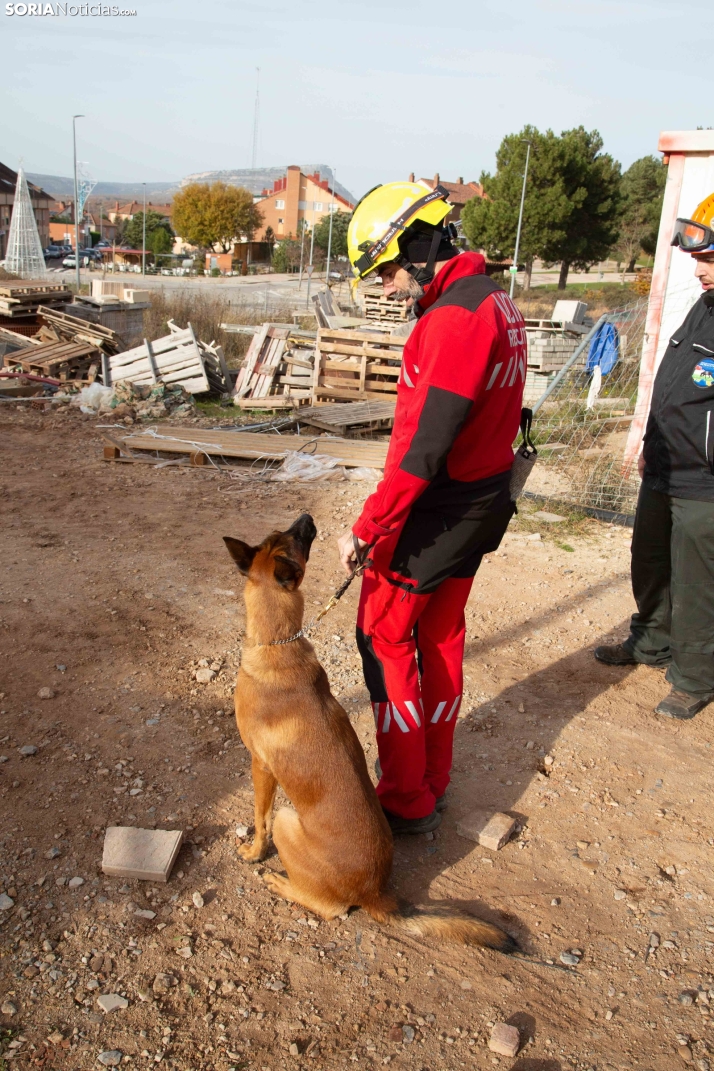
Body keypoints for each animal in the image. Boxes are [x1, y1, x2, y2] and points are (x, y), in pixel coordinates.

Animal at [223, 514, 513, 951]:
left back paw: (280, 882)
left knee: (330, 907)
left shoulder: (260, 767)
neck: (278, 644)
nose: (307, 516)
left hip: (291, 820)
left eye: (294, 539)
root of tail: (376, 893)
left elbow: (260, 818)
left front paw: (255, 852)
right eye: (282, 534)